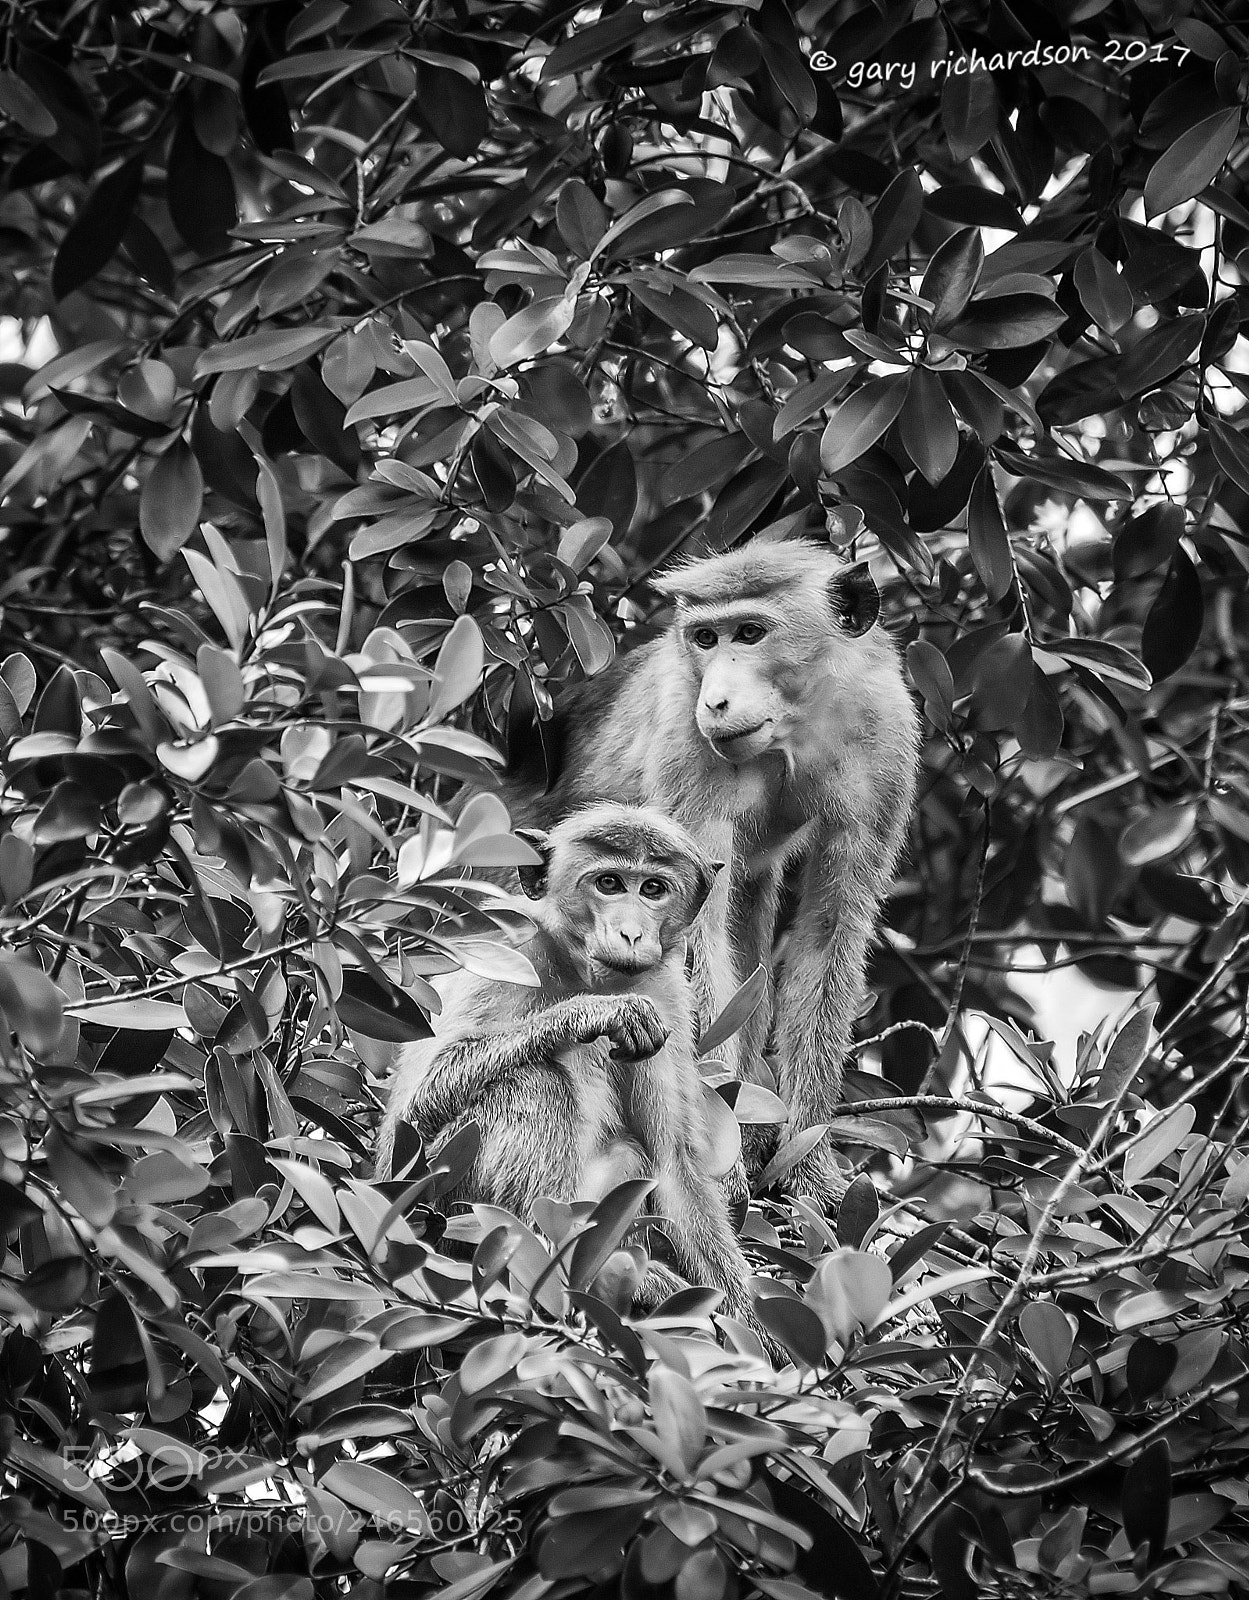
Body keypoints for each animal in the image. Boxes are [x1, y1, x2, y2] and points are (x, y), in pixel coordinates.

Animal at [376, 803, 769, 1340]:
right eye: (608, 883)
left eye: (652, 888)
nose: (631, 933)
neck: (580, 968)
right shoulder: (514, 953)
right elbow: (418, 1105)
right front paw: (594, 1013)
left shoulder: (666, 994)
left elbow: (674, 1166)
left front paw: (752, 1332)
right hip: (433, 1194)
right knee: (533, 1082)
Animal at [501, 537, 921, 1213]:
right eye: (705, 638)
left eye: (750, 633)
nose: (716, 700)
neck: (796, 728)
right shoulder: (684, 735)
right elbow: (694, 933)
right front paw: (728, 1160)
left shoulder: (885, 739)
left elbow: (830, 933)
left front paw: (808, 1161)